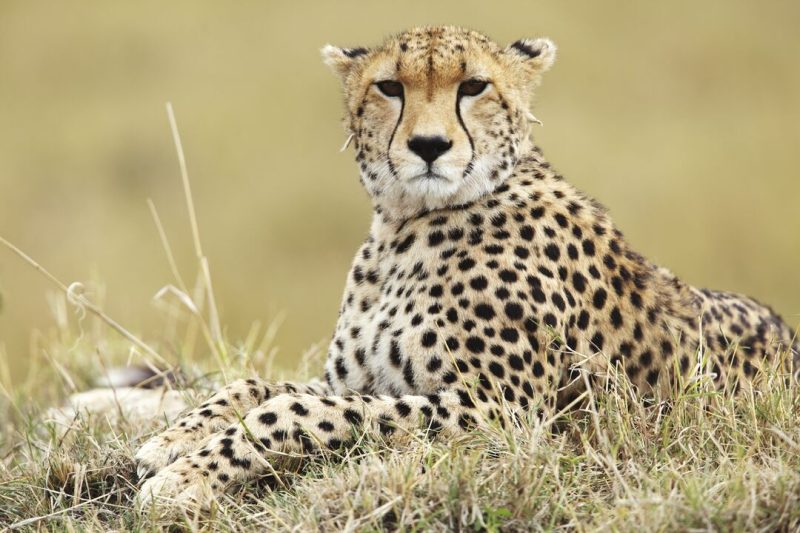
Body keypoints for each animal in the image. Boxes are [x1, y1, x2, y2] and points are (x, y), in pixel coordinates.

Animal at [135, 25, 799, 508]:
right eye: (390, 87)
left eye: (474, 86)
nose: (430, 146)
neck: (405, 226)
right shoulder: (361, 379)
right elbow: (257, 386)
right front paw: (169, 441)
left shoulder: (502, 414)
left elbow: (298, 410)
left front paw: (185, 478)